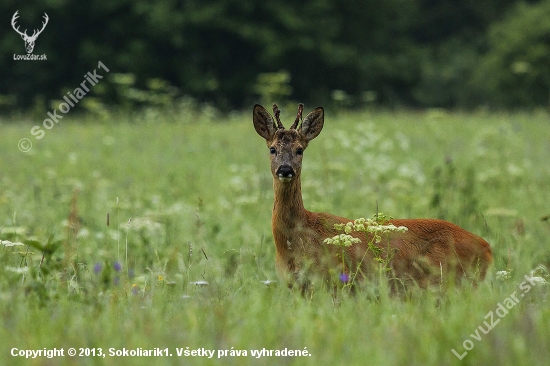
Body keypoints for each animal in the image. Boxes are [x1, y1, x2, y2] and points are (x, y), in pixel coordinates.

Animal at [256, 103, 496, 292]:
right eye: (272, 149)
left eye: (300, 150)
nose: (285, 170)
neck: (295, 239)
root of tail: (487, 248)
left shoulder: (335, 281)